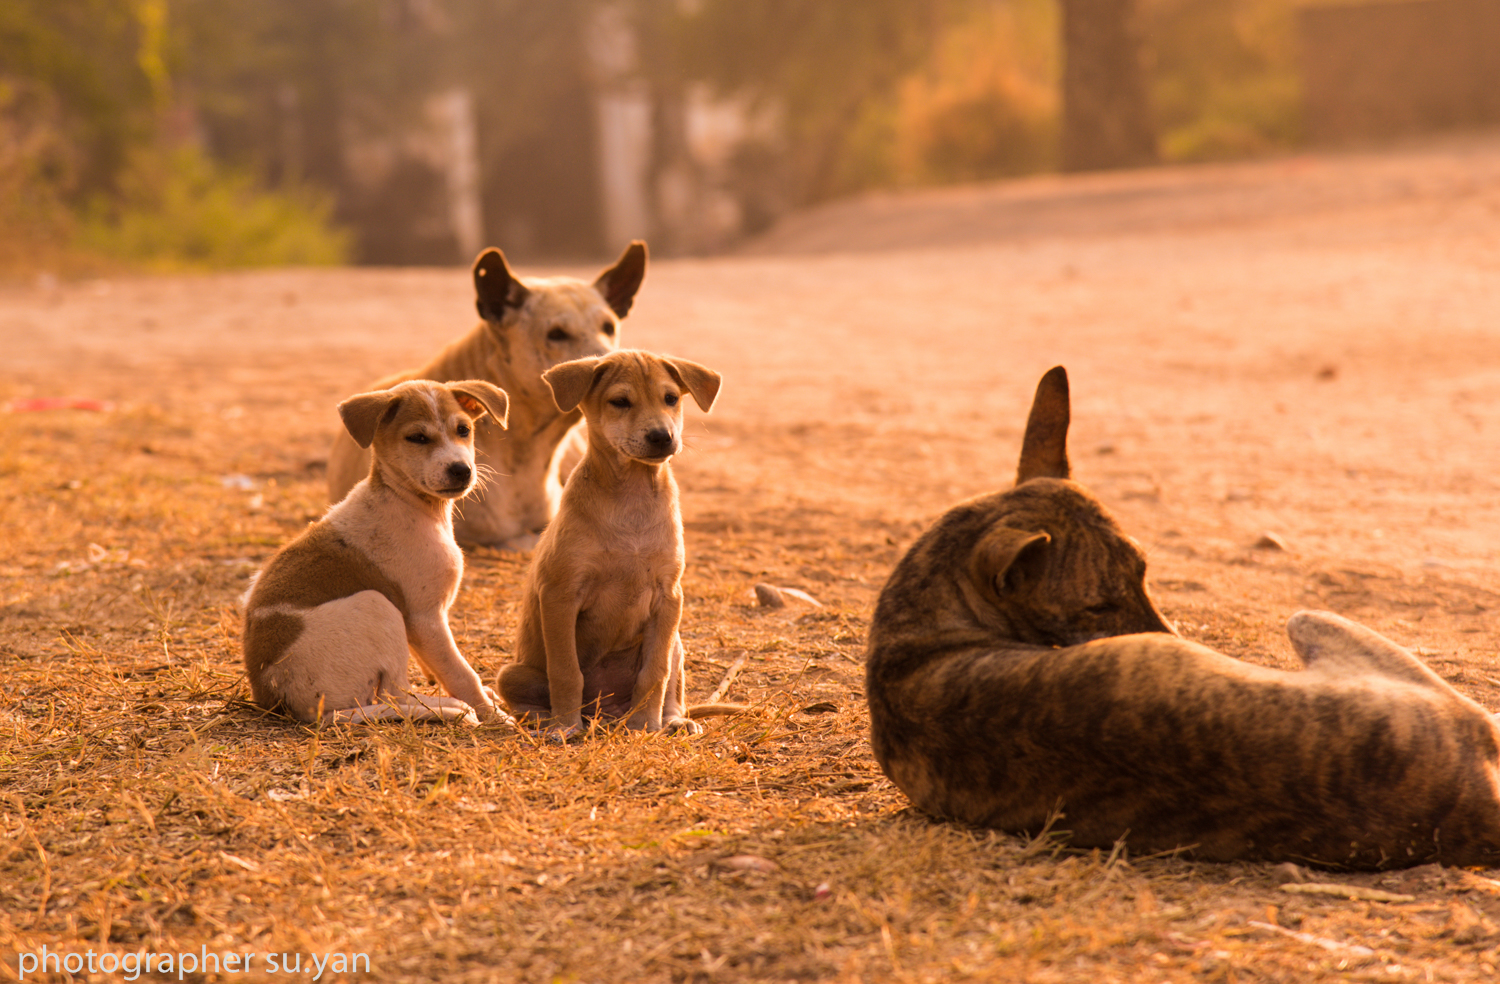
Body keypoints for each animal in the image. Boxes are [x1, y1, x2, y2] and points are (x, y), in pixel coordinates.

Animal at [240, 381, 510, 726]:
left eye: (463, 430)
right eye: (417, 438)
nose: (462, 470)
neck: (407, 502)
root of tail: (283, 701)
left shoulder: (420, 627)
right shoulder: (425, 617)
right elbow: (460, 672)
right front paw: (492, 714)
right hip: (377, 604)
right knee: (395, 694)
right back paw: (450, 708)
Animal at [495, 349, 735, 735]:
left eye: (670, 398)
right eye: (620, 402)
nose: (662, 436)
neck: (631, 502)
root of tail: (604, 714)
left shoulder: (669, 598)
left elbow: (655, 672)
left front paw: (646, 724)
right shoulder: (560, 595)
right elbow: (566, 671)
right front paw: (566, 727)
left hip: (677, 642)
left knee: (672, 685)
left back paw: (672, 721)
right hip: (513, 673)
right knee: (531, 699)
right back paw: (548, 721)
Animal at [864, 367, 1500, 870]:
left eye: (1144, 570)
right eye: (1095, 607)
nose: (1175, 641)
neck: (921, 622)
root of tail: (1477, 809)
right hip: (1314, 620)